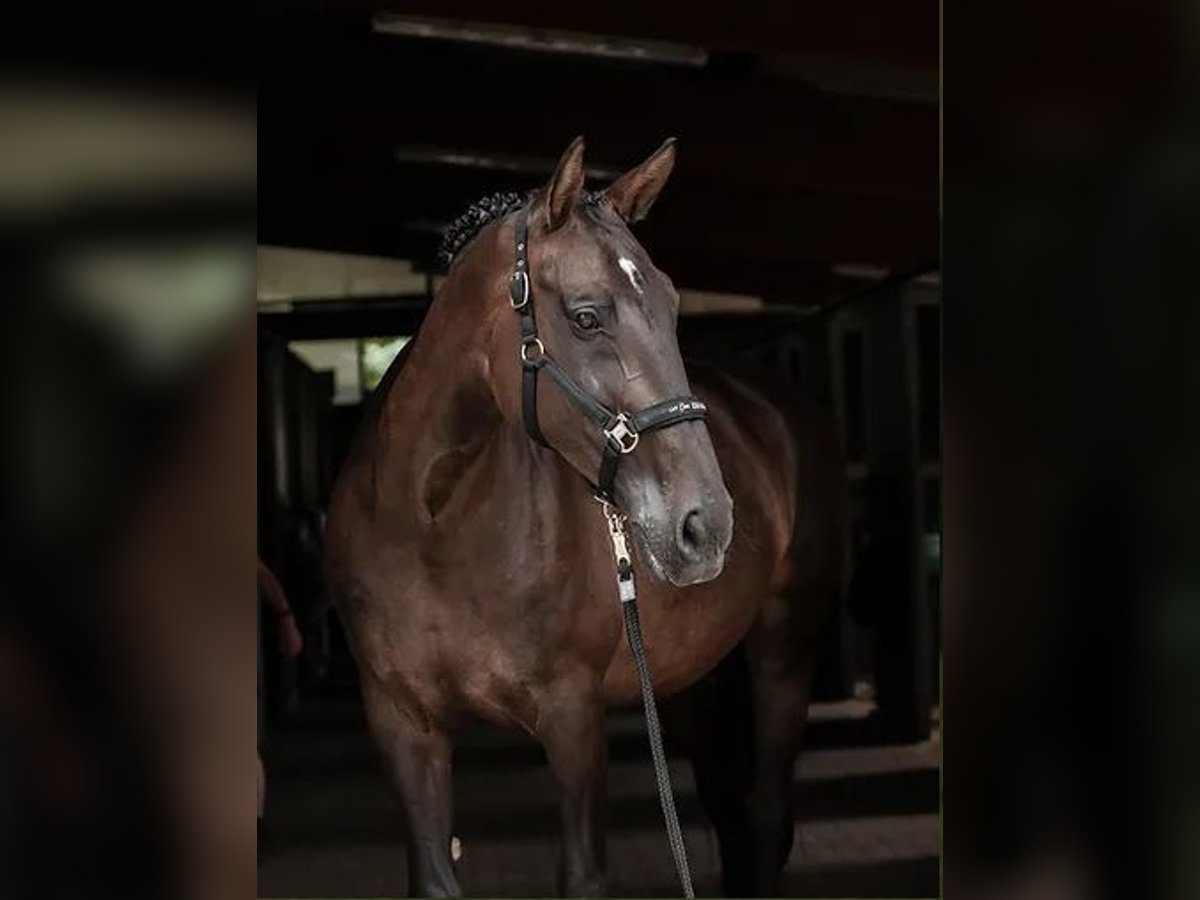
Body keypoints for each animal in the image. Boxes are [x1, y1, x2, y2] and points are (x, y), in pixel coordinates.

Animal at [321, 137, 844, 897]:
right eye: (587, 316)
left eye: (673, 305)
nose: (706, 525)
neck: (432, 527)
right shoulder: (402, 723)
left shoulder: (571, 716)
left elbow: (584, 875)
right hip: (687, 677)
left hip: (784, 645)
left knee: (767, 815)